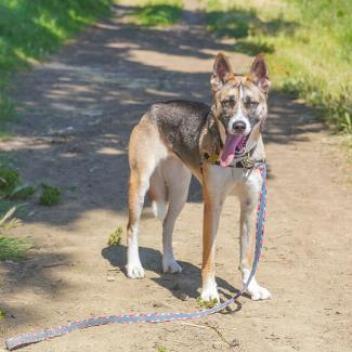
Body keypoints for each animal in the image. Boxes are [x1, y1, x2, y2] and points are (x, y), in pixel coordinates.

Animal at [126, 53, 272, 302]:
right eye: (227, 102)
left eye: (251, 103)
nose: (239, 125)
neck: (237, 160)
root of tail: (154, 108)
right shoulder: (213, 205)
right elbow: (208, 256)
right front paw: (209, 292)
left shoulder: (249, 207)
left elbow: (247, 257)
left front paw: (251, 287)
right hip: (140, 184)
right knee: (132, 228)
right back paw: (134, 266)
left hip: (180, 193)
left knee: (167, 225)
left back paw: (169, 262)